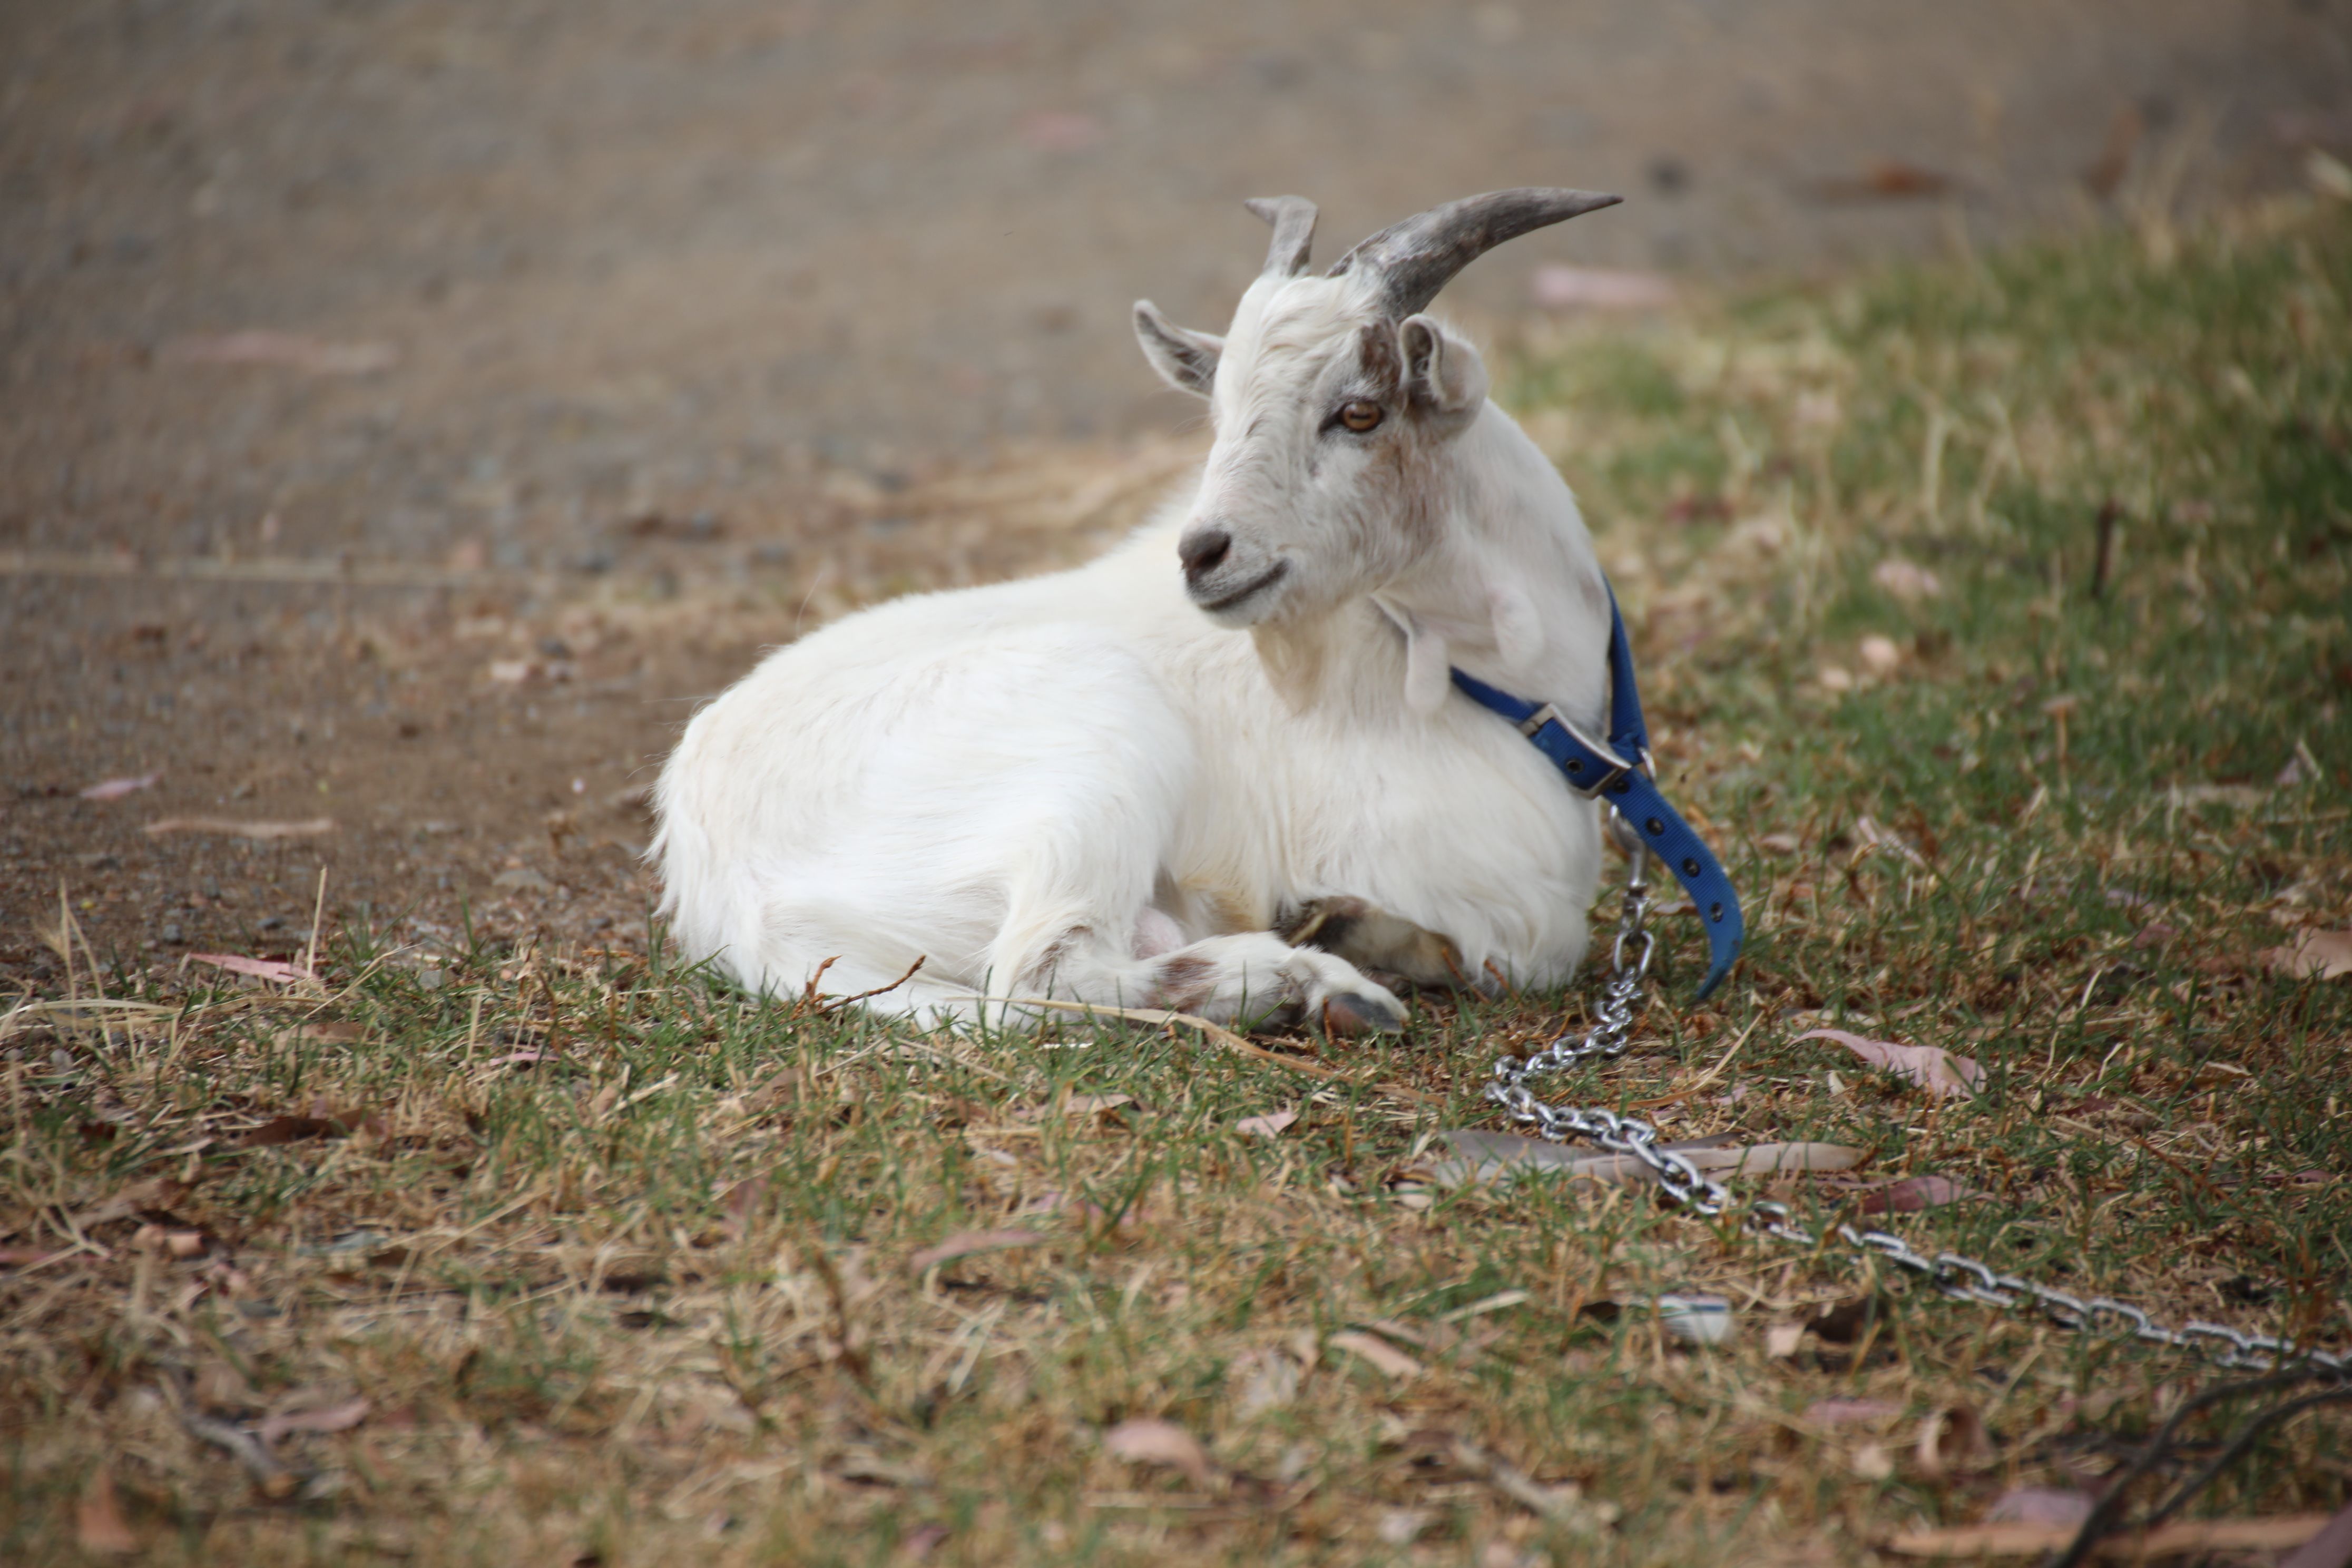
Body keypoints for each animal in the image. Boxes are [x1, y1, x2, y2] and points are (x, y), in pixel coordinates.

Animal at [653, 189, 1629, 1033]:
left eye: (1359, 412)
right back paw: (1318, 982)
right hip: (1095, 742)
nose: (1203, 554)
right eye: (1219, 415)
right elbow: (1534, 949)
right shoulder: (1489, 887)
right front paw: (1359, 933)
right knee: (1040, 973)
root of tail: (734, 899)